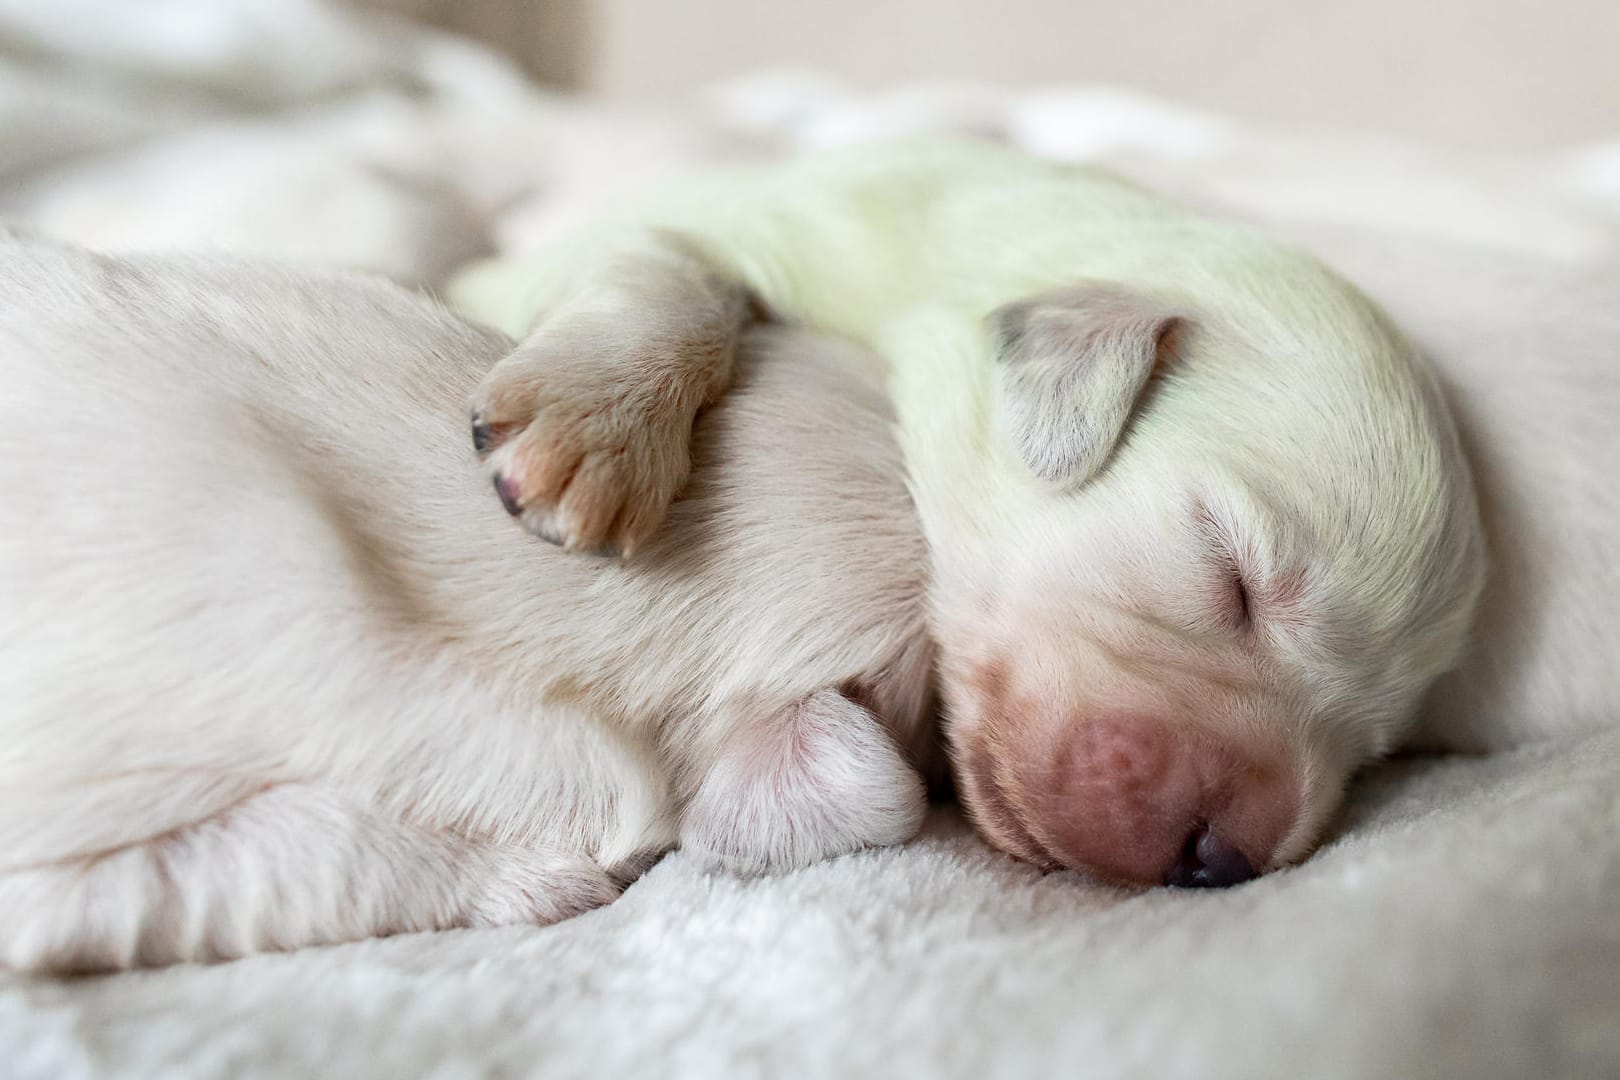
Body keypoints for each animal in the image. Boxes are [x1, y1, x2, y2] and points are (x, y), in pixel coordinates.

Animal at [453, 139, 1483, 893]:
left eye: (1376, 747)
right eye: (1236, 580)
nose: (1221, 861)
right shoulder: (761, 228)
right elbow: (665, 263)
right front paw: (599, 423)